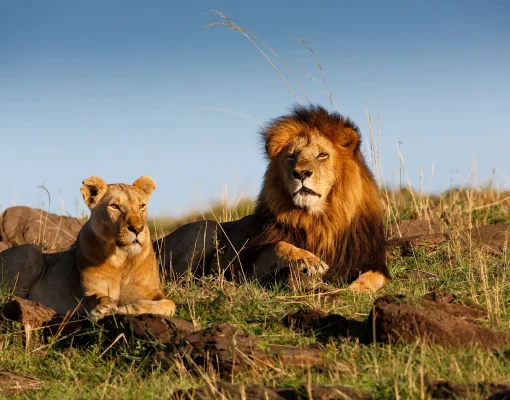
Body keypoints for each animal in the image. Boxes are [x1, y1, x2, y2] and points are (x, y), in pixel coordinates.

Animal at [0, 175, 175, 318]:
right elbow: (97, 297)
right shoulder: (90, 292)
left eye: (141, 206)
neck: (121, 258)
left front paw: (129, 309)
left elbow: (169, 303)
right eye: (115, 206)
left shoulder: (152, 291)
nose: (138, 229)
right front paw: (104, 309)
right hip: (31, 250)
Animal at [155, 105, 390, 294]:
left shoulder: (371, 261)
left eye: (322, 155)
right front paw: (309, 261)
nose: (301, 173)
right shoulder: (251, 264)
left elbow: (374, 278)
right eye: (291, 156)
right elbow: (280, 245)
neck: (319, 219)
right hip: (208, 227)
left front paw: (354, 289)